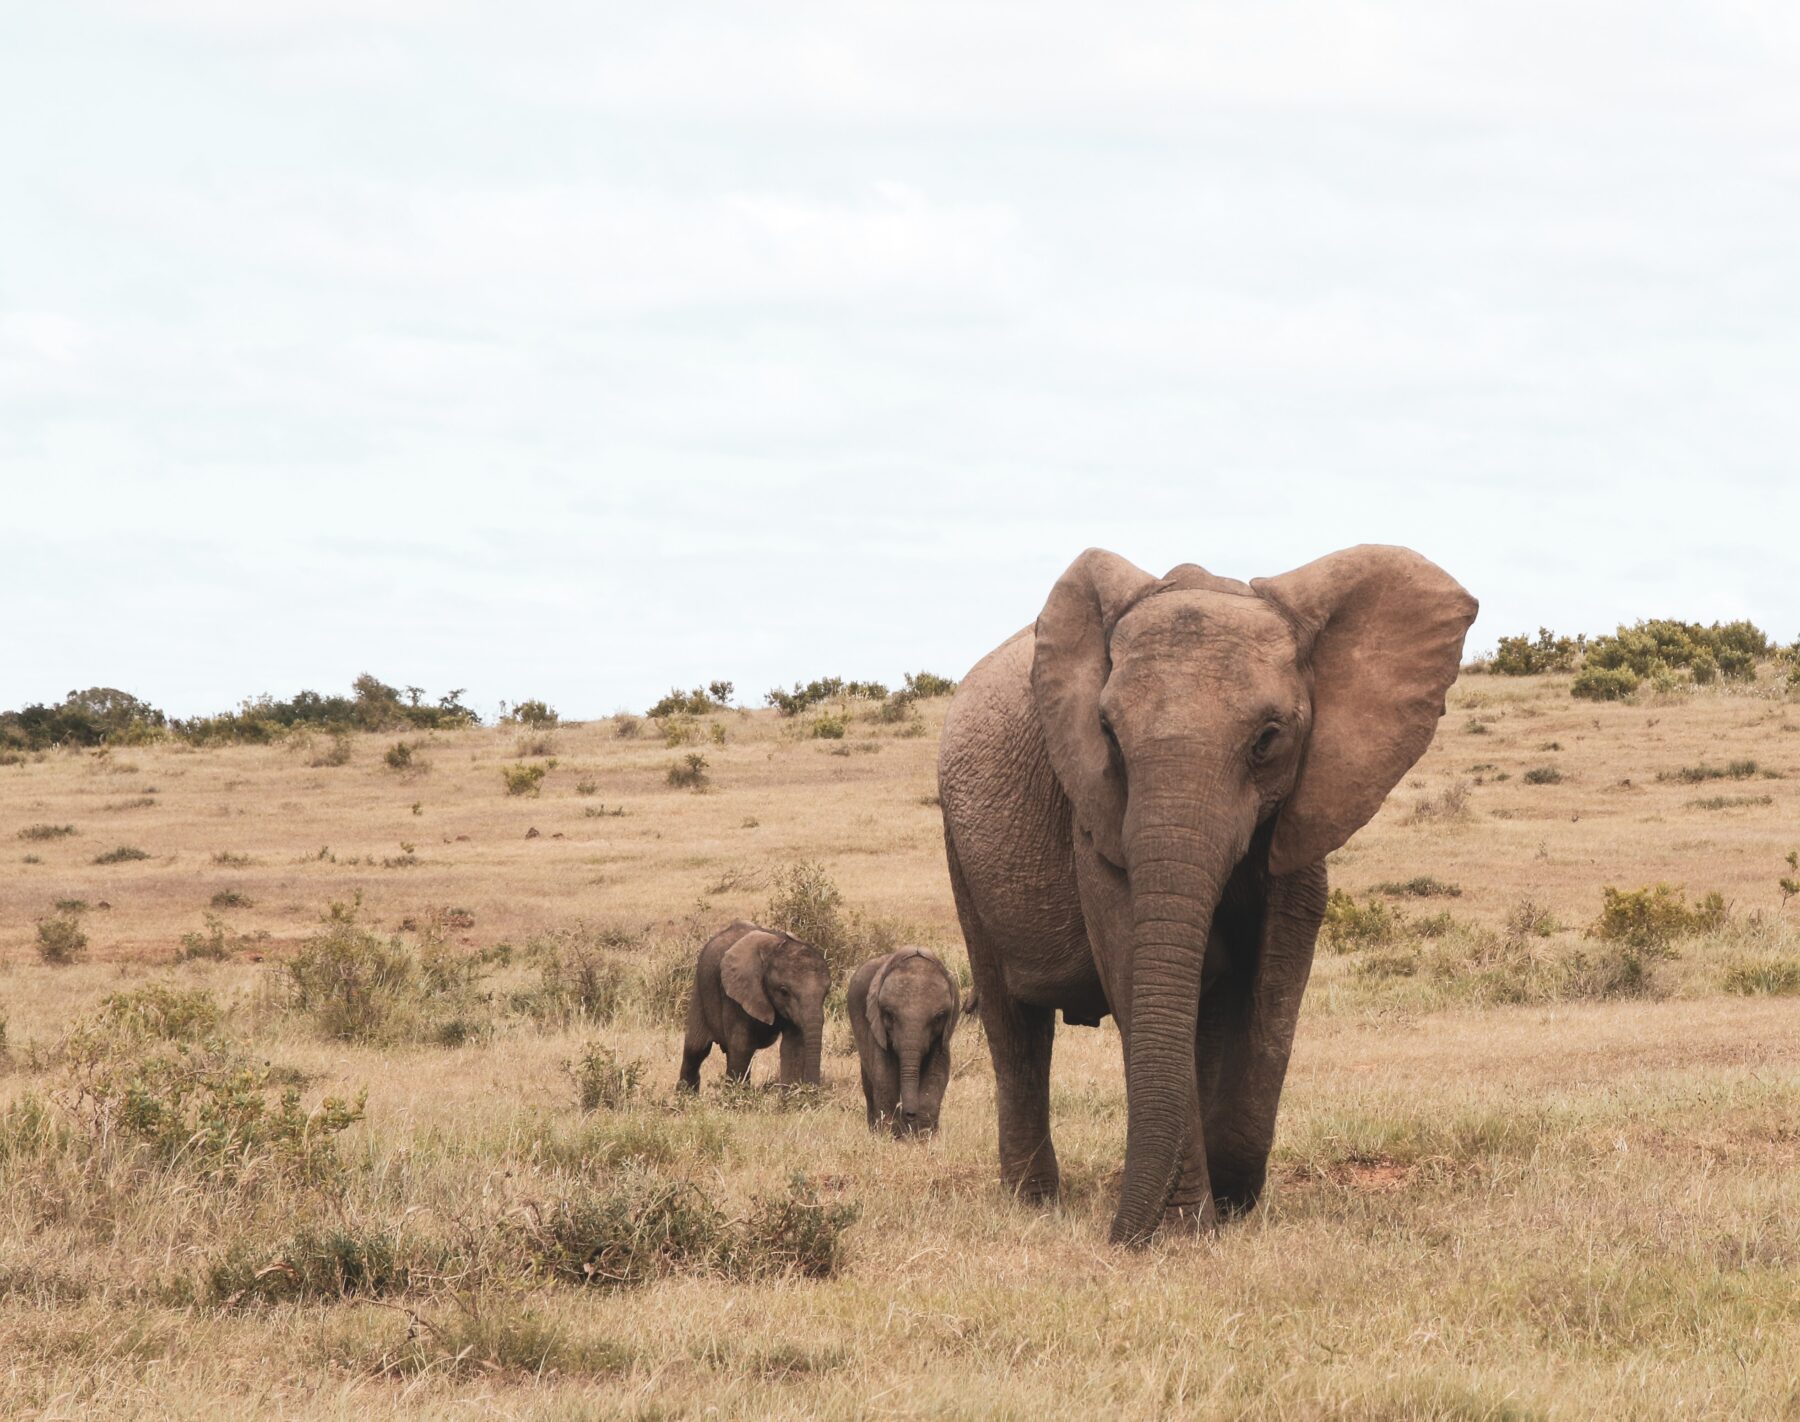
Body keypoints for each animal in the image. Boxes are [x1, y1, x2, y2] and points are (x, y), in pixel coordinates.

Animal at [676, 921, 831, 1094]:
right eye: (784, 991)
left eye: (827, 992)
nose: (811, 1092)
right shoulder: (736, 994)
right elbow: (741, 1047)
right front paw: (735, 1098)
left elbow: (793, 1048)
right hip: (700, 990)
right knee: (696, 1050)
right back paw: (684, 1098)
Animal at [849, 950, 964, 1144]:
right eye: (889, 1014)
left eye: (938, 1017)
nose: (910, 1114)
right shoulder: (876, 1026)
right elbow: (884, 1074)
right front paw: (890, 1135)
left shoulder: (943, 1036)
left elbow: (936, 1074)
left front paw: (924, 1137)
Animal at [943, 547, 1476, 1245]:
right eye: (1107, 731)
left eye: (1269, 738)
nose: (1118, 1237)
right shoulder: (1094, 811)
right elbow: (1130, 953)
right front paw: (1186, 1230)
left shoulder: (1304, 804)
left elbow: (1276, 974)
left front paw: (1228, 1200)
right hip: (959, 845)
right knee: (1015, 1029)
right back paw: (1033, 1203)